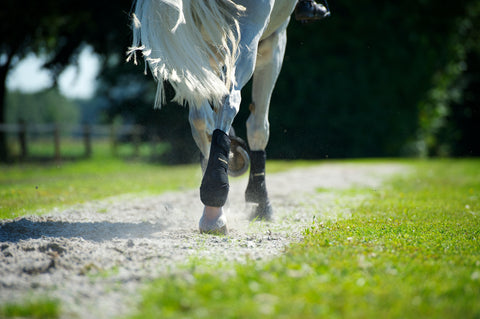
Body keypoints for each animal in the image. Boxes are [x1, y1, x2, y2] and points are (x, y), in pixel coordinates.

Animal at [127, 0, 300, 235]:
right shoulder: (274, 40)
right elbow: (258, 126)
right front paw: (260, 204)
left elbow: (208, 112)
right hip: (247, 27)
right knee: (229, 99)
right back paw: (215, 208)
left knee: (200, 116)